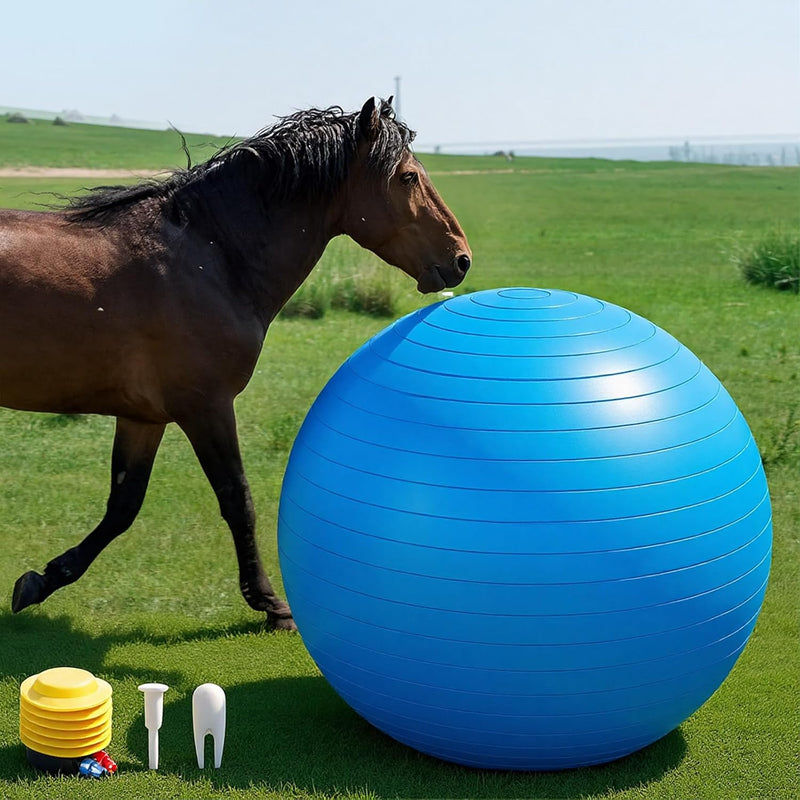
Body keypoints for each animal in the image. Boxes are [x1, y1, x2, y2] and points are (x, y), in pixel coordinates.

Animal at [0, 97, 472, 629]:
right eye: (408, 177)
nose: (461, 258)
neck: (211, 257)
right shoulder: (207, 408)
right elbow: (237, 500)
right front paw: (270, 603)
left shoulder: (144, 417)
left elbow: (123, 505)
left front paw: (43, 580)